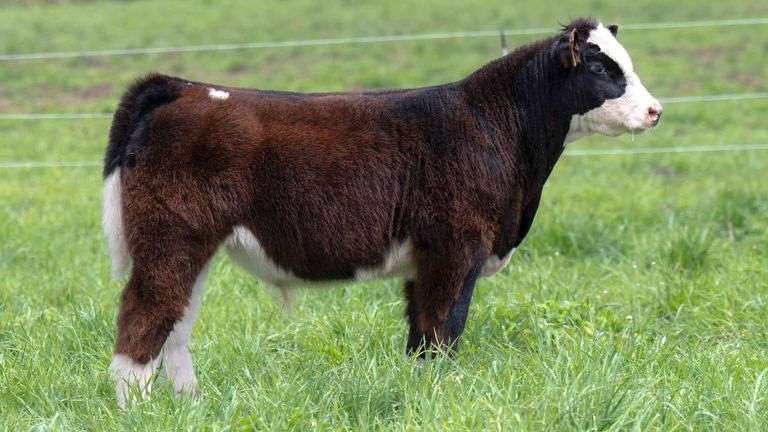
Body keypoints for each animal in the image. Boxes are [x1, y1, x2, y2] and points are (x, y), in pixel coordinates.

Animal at [102, 18, 662, 407]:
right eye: (602, 67)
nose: (656, 110)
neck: (498, 127)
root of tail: (186, 88)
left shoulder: (425, 261)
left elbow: (420, 338)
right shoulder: (455, 250)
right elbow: (442, 330)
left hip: (194, 248)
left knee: (177, 323)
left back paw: (189, 405)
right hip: (170, 242)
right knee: (143, 318)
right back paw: (139, 411)